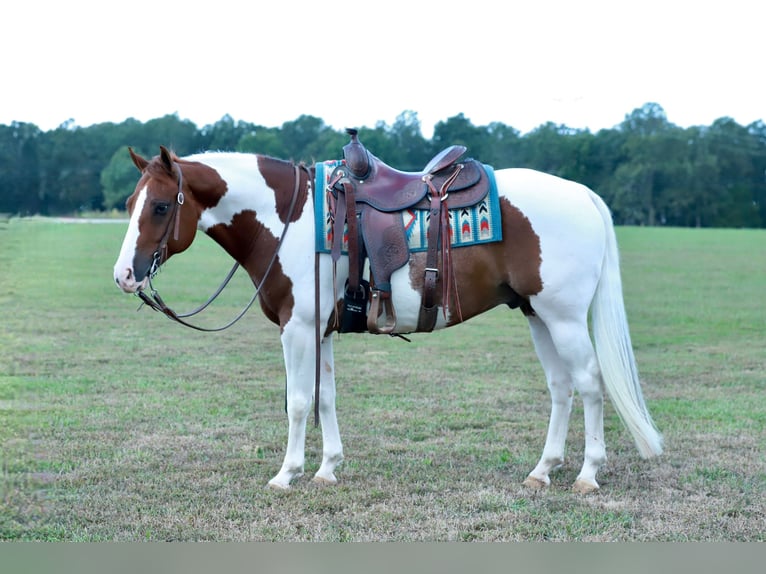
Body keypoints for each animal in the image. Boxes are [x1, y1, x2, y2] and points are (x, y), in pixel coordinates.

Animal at [113, 144, 663, 493]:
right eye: (130, 202)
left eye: (159, 206)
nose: (124, 275)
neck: (289, 219)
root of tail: (581, 194)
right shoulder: (321, 331)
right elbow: (325, 398)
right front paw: (328, 469)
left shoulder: (298, 329)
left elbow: (298, 402)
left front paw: (287, 474)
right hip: (537, 314)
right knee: (560, 387)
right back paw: (543, 470)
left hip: (564, 318)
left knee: (589, 384)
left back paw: (588, 475)